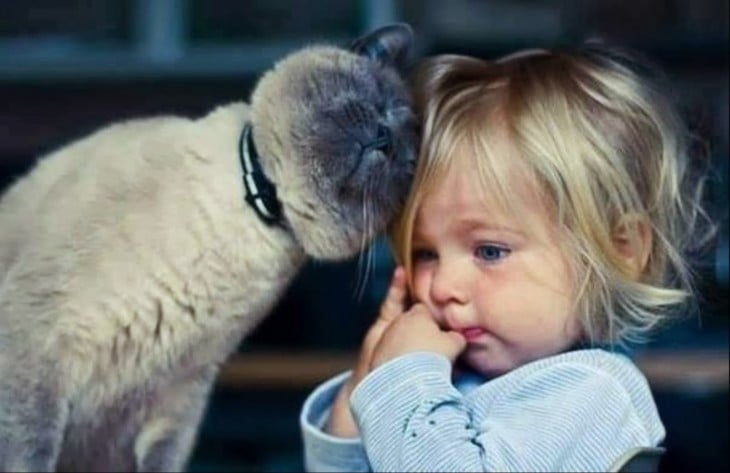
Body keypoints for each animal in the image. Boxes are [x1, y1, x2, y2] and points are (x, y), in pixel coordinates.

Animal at [0, 24, 418, 470]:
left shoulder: (181, 393)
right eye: (377, 102)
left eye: (405, 161)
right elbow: (29, 454)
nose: (385, 138)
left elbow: (164, 459)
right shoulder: (37, 350)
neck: (249, 211)